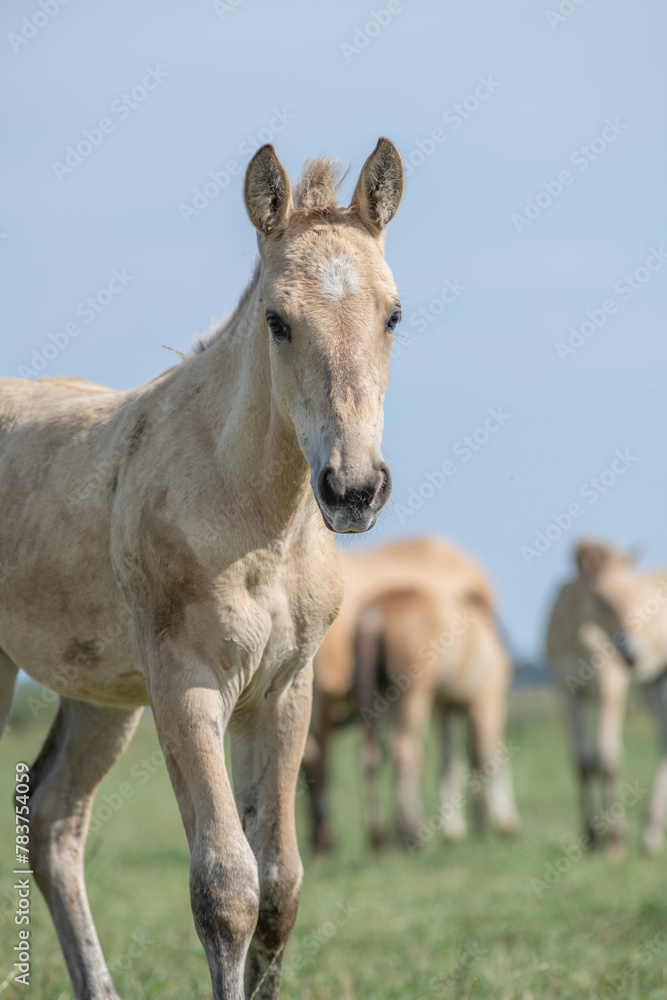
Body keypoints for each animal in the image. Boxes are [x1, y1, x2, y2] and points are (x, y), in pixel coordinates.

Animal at [0, 138, 404, 1000]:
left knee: (53, 818)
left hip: (101, 696)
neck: (256, 521)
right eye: (277, 320)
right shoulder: (185, 683)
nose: (353, 489)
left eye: (393, 314)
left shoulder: (282, 691)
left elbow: (279, 888)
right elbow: (225, 887)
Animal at [303, 537, 521, 851]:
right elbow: (486, 754)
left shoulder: (445, 706)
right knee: (400, 751)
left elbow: (452, 761)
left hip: (372, 698)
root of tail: (374, 616)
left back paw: (376, 835)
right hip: (406, 698)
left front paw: (461, 826)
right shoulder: (485, 700)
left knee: (365, 755)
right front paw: (501, 822)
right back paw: (407, 832)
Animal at [546, 539, 667, 855]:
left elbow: (607, 759)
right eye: (600, 599)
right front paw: (589, 837)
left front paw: (614, 841)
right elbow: (581, 762)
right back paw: (650, 835)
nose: (633, 654)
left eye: (631, 596)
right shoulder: (566, 693)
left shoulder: (611, 690)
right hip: (652, 684)